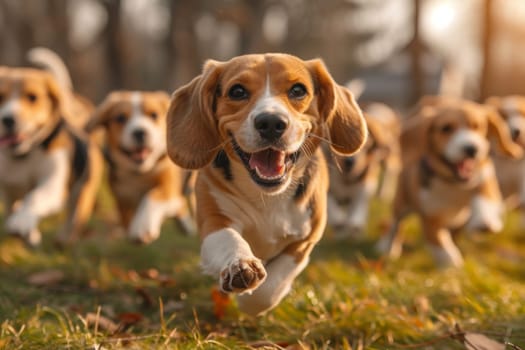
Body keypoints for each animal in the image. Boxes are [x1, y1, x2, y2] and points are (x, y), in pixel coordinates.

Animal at [0, 48, 103, 246]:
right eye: (0, 97)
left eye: (32, 97)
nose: (7, 119)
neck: (24, 156)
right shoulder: (8, 189)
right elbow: (14, 207)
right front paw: (26, 231)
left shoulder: (53, 185)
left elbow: (34, 198)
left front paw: (21, 221)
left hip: (82, 195)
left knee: (73, 219)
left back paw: (63, 241)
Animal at [86, 90, 194, 243]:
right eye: (120, 118)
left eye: (154, 115)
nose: (139, 132)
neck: (141, 174)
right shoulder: (122, 197)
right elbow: (127, 218)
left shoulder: (168, 187)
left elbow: (152, 196)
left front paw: (142, 227)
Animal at [166, 53, 366, 316]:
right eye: (237, 91)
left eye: (298, 90)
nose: (271, 122)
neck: (268, 196)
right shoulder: (214, 220)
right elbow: (230, 240)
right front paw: (241, 267)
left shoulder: (304, 242)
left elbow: (271, 287)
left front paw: (249, 301)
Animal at [326, 102, 400, 238]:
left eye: (365, 144)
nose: (350, 162)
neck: (346, 178)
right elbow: (331, 205)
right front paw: (339, 225)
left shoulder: (365, 183)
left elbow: (359, 203)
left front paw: (355, 225)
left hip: (390, 159)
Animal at [376, 94, 520, 266]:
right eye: (446, 128)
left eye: (477, 126)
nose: (471, 149)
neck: (453, 184)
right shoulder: (430, 216)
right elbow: (439, 242)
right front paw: (451, 264)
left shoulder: (485, 178)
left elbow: (485, 198)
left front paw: (483, 222)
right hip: (401, 203)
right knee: (395, 224)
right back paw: (386, 246)